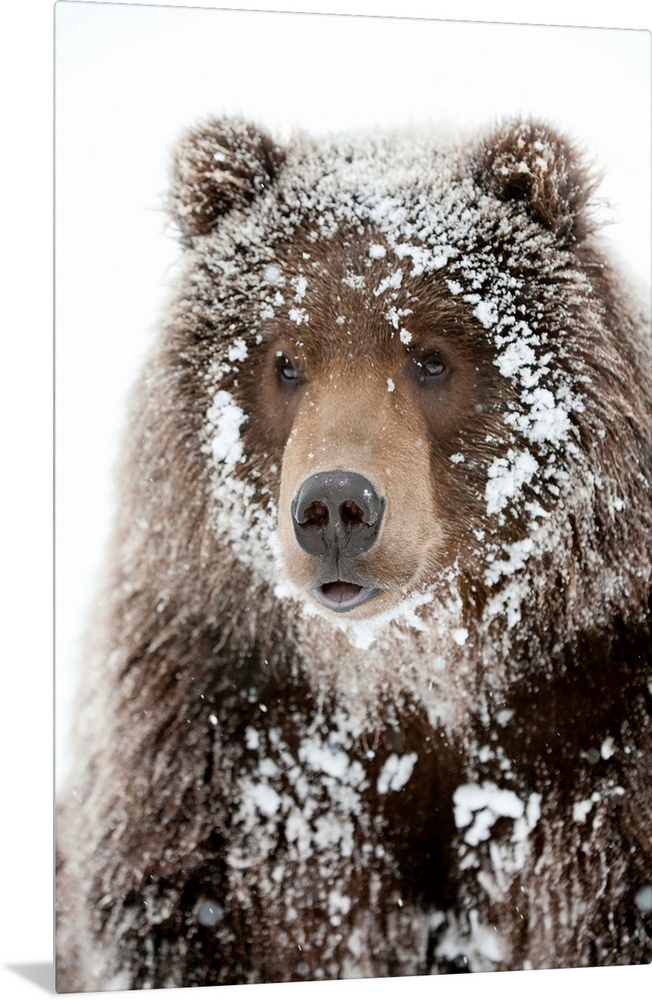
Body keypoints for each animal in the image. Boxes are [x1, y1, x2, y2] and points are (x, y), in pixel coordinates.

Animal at [57, 113, 652, 988]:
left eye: (431, 356)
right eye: (285, 360)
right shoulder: (225, 737)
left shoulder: (595, 713)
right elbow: (203, 910)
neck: (409, 670)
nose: (336, 507)